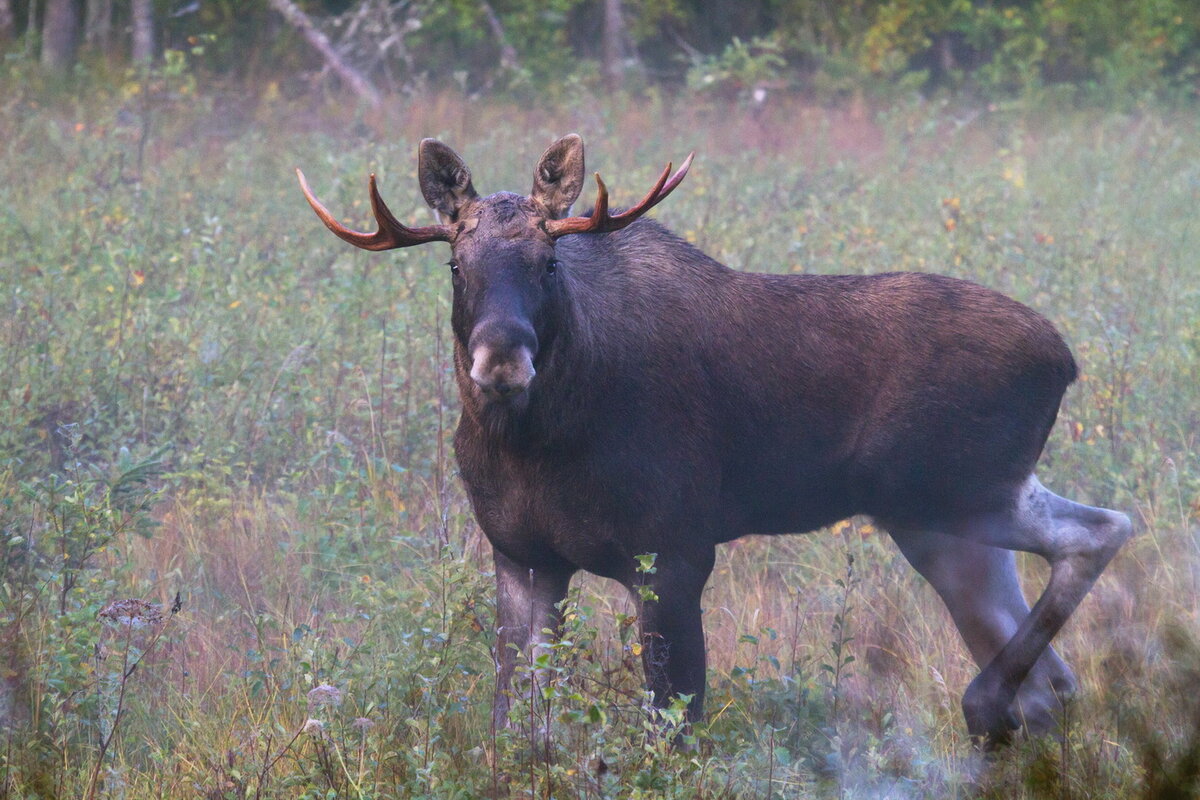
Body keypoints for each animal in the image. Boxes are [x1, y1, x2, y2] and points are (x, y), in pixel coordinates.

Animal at [295, 134, 1128, 748]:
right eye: (455, 263)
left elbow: (675, 726)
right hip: (941, 519)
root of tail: (1065, 358)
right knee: (1052, 667)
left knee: (1102, 530)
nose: (501, 359)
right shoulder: (522, 555)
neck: (536, 445)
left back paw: (984, 704)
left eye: (548, 260)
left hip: (953, 491)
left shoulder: (675, 549)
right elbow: (517, 725)